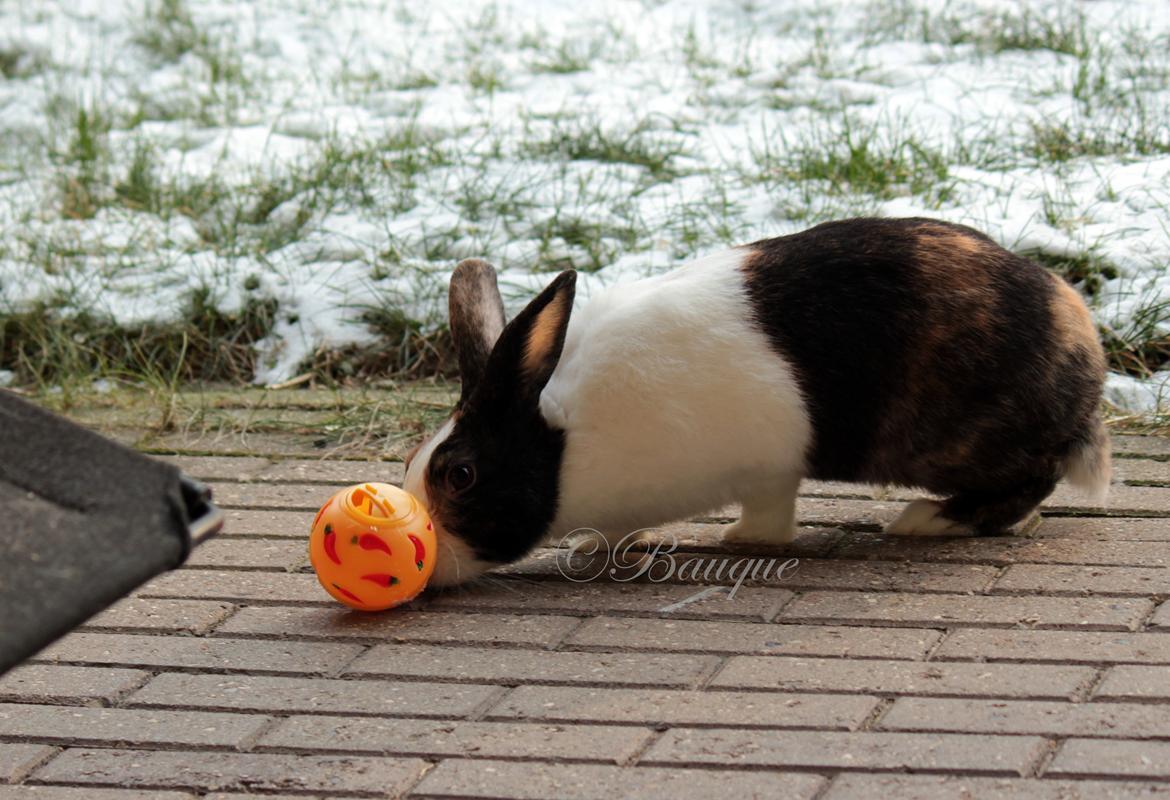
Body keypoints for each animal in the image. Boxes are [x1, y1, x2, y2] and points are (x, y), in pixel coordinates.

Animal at [407, 215, 1109, 584]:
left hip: (960, 443)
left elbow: (770, 515)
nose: (429, 553)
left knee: (1031, 480)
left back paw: (930, 519)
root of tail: (1082, 346)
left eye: (460, 475)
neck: (564, 445)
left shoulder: (768, 465)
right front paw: (595, 547)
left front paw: (740, 541)